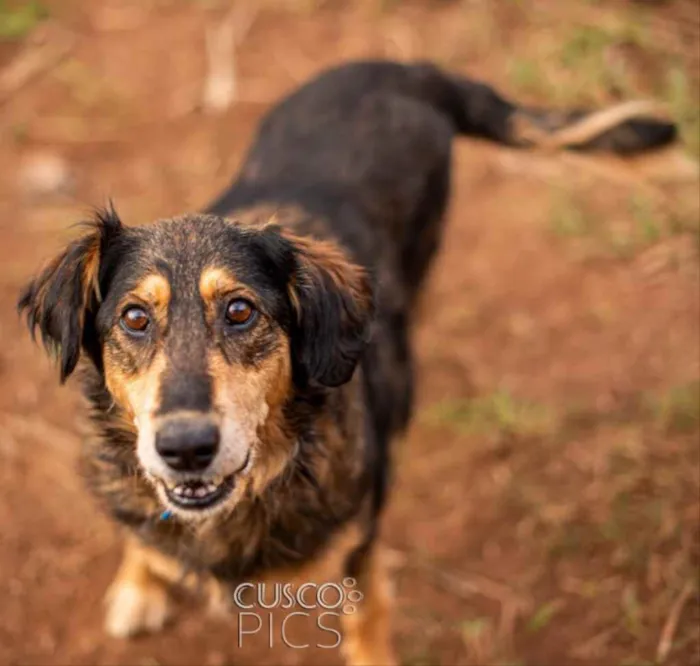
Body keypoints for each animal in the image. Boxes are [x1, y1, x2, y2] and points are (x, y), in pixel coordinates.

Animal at [17, 59, 672, 660]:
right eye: (134, 318)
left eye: (240, 311)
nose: (184, 448)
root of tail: (403, 69)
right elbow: (138, 531)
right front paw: (140, 583)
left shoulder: (362, 541)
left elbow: (367, 612)